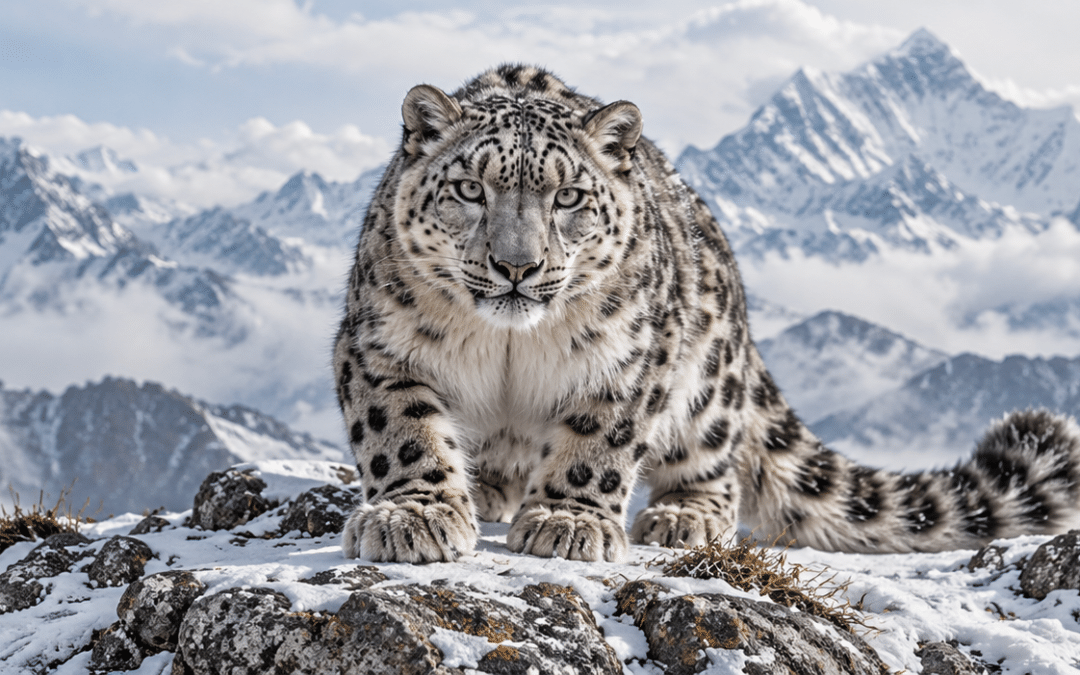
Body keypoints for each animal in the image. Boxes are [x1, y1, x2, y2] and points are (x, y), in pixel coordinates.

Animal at [332, 64, 1080, 563]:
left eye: (569, 197)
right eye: (468, 189)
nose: (517, 266)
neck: (512, 345)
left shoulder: (630, 358)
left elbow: (599, 445)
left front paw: (570, 521)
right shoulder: (378, 346)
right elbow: (402, 431)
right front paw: (415, 514)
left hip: (707, 388)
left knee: (716, 465)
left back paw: (680, 515)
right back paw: (486, 485)